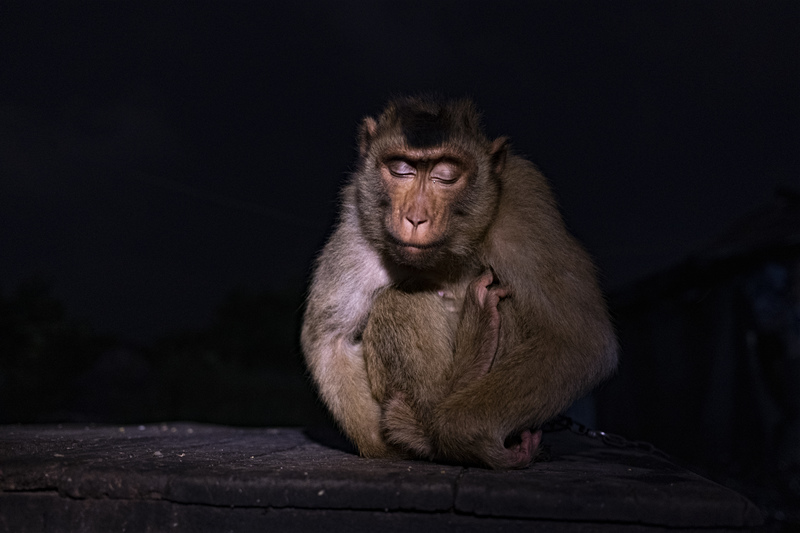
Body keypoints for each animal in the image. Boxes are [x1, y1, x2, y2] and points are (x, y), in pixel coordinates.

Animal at [300, 96, 620, 470]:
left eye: (446, 176)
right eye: (401, 169)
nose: (416, 218)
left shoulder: (526, 204)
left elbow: (579, 340)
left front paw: (464, 437)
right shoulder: (358, 215)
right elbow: (328, 339)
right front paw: (442, 444)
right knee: (400, 300)